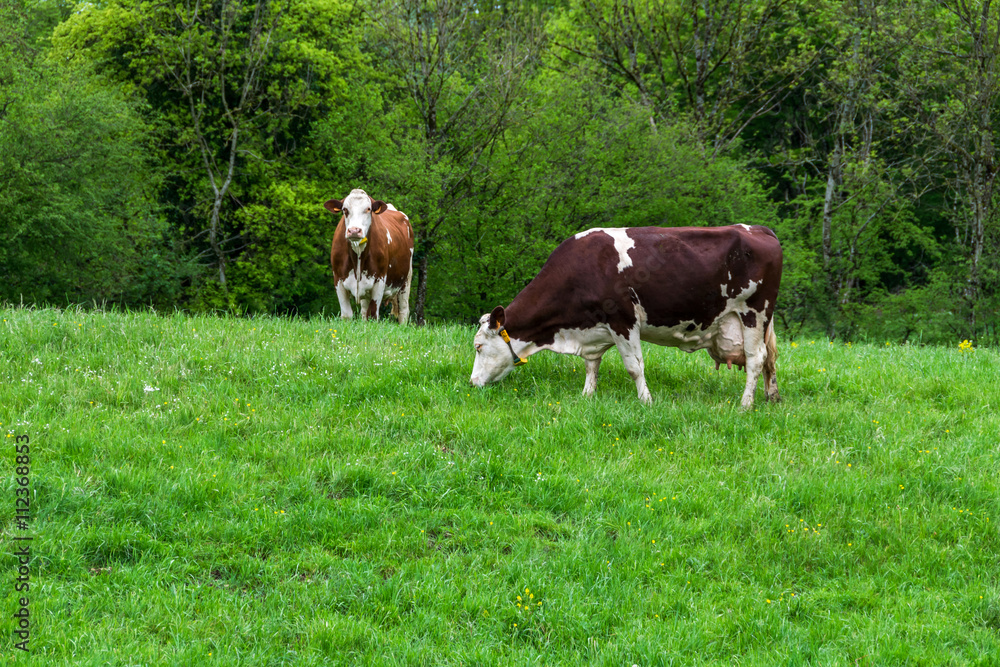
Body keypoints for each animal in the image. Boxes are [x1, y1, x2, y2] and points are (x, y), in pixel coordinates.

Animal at [324, 189, 414, 322]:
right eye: (345, 209)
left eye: (368, 209)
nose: (354, 230)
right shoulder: (338, 279)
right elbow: (347, 315)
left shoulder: (380, 280)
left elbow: (372, 315)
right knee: (363, 311)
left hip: (406, 280)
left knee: (404, 312)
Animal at [469, 225, 782, 409]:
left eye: (478, 346)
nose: (472, 383)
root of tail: (758, 229)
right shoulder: (593, 331)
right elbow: (591, 365)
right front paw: (587, 396)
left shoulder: (624, 320)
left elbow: (634, 367)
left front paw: (646, 401)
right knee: (769, 359)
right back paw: (772, 396)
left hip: (754, 313)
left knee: (756, 359)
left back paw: (745, 404)